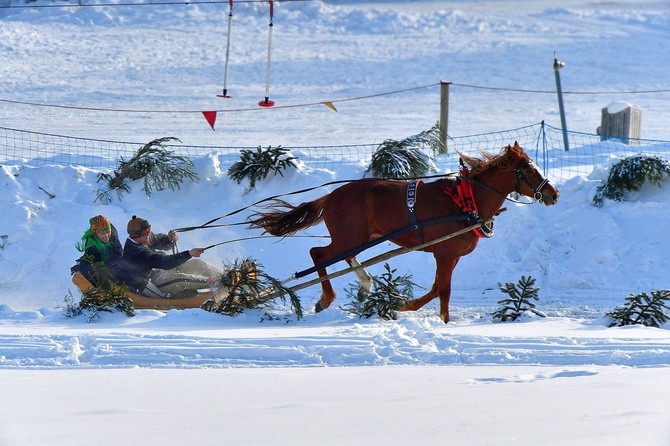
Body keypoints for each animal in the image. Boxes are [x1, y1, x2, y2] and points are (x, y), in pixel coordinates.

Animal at [248, 141, 560, 322]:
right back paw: (328, 298)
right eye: (529, 170)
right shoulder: (445, 253)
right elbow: (443, 291)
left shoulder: (449, 256)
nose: (553, 194)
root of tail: (332, 196)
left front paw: (403, 306)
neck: (466, 200)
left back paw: (365, 285)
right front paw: (442, 321)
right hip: (350, 238)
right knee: (318, 253)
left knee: (341, 257)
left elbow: (435, 289)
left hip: (359, 239)